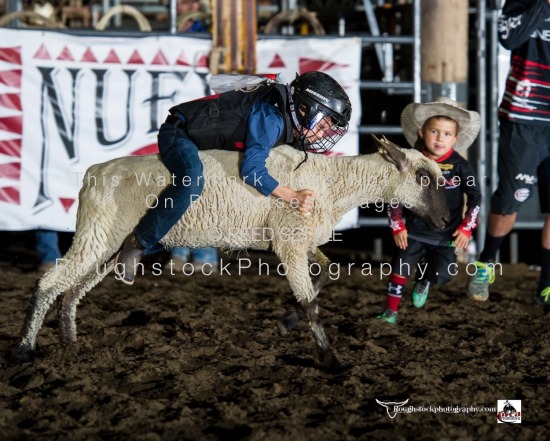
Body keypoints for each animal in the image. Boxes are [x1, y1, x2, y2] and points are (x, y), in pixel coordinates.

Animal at [15, 136, 450, 370]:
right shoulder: (290, 242)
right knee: (50, 282)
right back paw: (23, 348)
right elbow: (312, 304)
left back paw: (71, 343)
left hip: (107, 245)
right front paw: (330, 360)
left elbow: (327, 276)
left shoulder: (301, 242)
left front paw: (285, 323)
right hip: (96, 235)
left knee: (73, 290)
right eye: (423, 177)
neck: (332, 182)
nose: (446, 219)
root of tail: (93, 173)